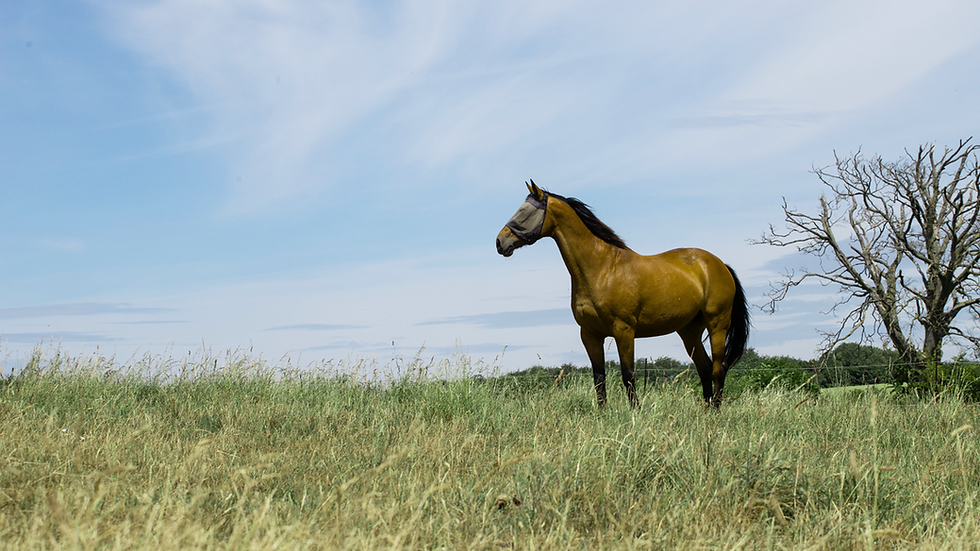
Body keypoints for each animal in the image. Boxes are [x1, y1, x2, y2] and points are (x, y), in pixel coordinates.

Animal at [496, 181, 750, 408]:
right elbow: (599, 378)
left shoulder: (624, 330)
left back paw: (715, 410)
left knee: (718, 368)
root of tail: (720, 265)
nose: (500, 242)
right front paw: (602, 414)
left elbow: (628, 374)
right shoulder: (590, 334)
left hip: (717, 325)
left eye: (524, 211)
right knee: (704, 367)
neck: (603, 268)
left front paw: (635, 412)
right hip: (689, 331)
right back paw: (705, 411)